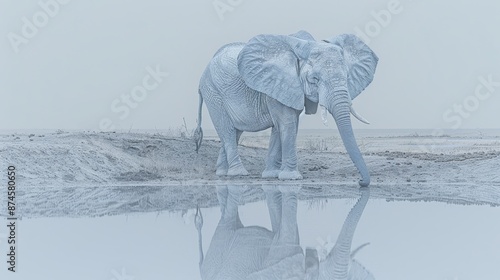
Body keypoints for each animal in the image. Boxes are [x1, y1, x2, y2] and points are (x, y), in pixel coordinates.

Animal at [193, 30, 376, 186]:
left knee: (235, 132)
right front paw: (291, 177)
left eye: (347, 76)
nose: (360, 181)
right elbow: (287, 123)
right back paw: (238, 173)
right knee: (227, 130)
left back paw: (222, 173)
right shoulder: (276, 84)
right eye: (314, 79)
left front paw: (272, 175)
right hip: (213, 93)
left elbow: (284, 125)